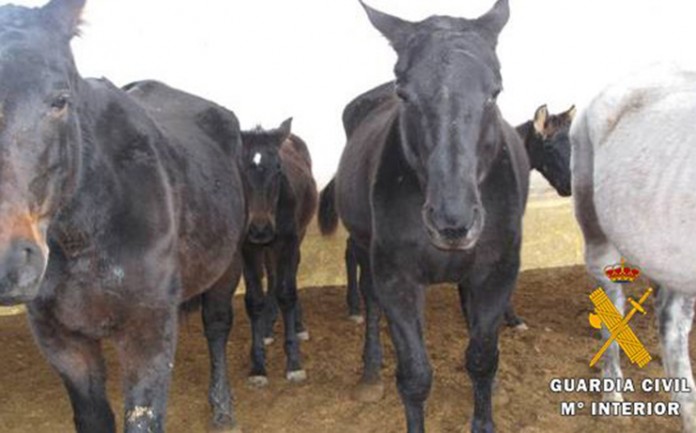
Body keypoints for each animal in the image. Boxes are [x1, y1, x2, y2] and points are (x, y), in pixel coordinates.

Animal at [0, 1, 246, 432]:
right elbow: (94, 417)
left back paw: (222, 408)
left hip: (226, 267)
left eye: (60, 100)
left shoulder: (145, 332)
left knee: (217, 326)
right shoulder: (62, 340)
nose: (9, 262)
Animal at [239, 118, 317, 387]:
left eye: (278, 169)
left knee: (288, 277)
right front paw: (258, 366)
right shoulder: (248, 247)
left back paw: (299, 324)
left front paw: (294, 363)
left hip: (294, 238)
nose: (260, 228)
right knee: (272, 277)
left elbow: (287, 294)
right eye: (241, 168)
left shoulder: (288, 242)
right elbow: (254, 300)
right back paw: (266, 327)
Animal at [319, 1, 528, 431]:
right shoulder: (397, 280)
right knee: (369, 300)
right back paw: (370, 374)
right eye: (405, 94)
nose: (453, 221)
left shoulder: (496, 274)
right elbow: (415, 377)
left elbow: (482, 358)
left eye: (494, 92)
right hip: (365, 249)